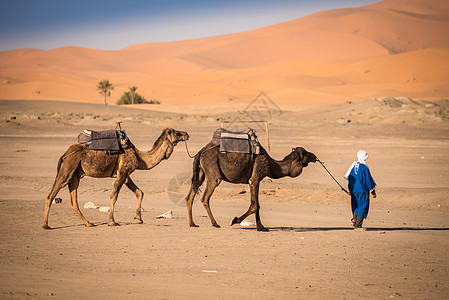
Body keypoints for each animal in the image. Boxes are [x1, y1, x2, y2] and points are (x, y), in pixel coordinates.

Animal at [43, 127, 188, 229]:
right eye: (176, 132)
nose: (186, 134)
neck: (139, 157)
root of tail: (65, 154)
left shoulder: (125, 174)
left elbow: (139, 192)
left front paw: (138, 218)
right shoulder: (123, 172)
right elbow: (114, 196)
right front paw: (112, 222)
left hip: (75, 176)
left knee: (73, 201)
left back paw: (88, 223)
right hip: (67, 170)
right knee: (51, 195)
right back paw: (46, 225)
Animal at [184, 142, 316, 231]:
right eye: (306, 153)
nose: (314, 156)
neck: (272, 165)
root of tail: (201, 152)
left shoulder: (255, 181)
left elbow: (257, 205)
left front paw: (261, 227)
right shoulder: (255, 178)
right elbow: (255, 205)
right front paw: (235, 220)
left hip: (200, 172)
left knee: (190, 195)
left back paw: (192, 223)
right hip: (213, 173)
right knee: (205, 197)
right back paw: (215, 223)